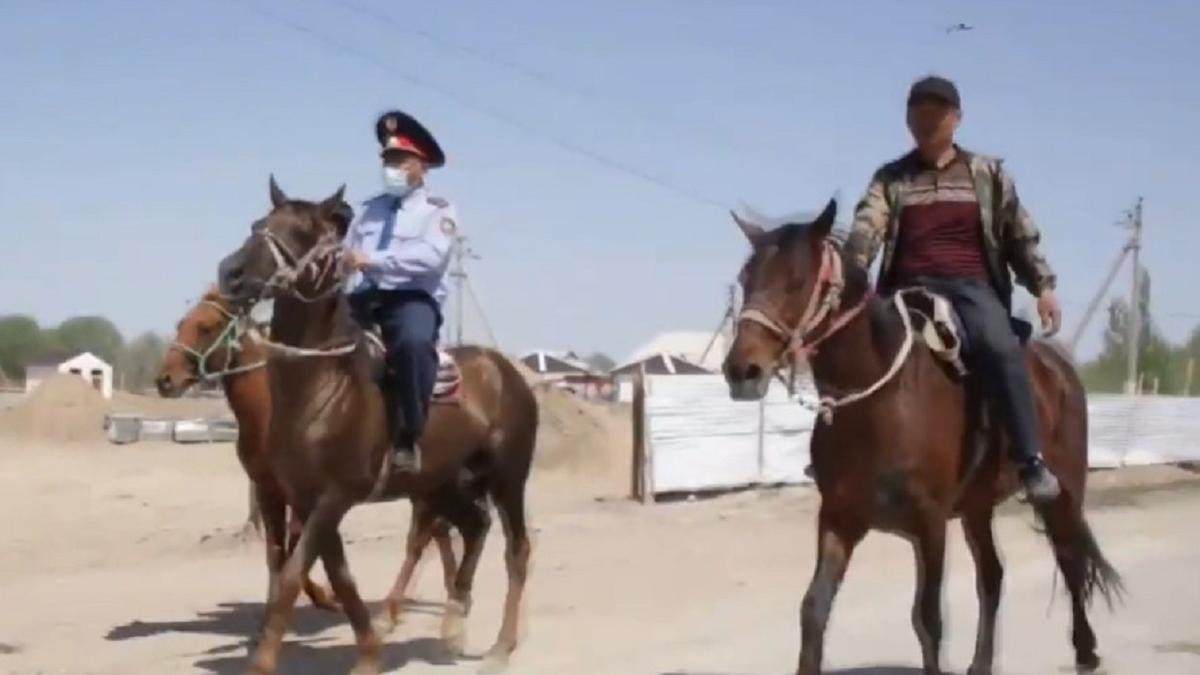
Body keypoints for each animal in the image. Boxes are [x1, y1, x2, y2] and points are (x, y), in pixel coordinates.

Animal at [153, 283, 458, 624]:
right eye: (181, 323)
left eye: (206, 326)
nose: (165, 379)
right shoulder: (268, 489)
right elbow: (278, 552)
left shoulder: (304, 491)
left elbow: (297, 546)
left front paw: (322, 597)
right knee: (437, 532)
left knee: (422, 538)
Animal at [213, 178, 537, 672]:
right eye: (258, 223)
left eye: (303, 232)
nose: (230, 273)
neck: (322, 383)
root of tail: (508, 373)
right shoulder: (306, 498)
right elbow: (337, 575)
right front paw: (370, 650)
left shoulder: (335, 495)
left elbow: (292, 575)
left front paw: (264, 662)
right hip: (443, 482)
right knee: (475, 526)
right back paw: (452, 627)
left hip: (507, 478)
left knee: (515, 549)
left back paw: (500, 647)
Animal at [720, 199, 1123, 672]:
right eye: (746, 279)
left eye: (797, 281)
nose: (741, 370)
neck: (881, 399)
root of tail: (1061, 370)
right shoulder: (838, 519)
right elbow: (814, 610)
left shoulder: (929, 523)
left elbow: (928, 619)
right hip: (977, 508)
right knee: (993, 574)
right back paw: (983, 663)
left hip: (1064, 490)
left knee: (1070, 557)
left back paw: (1086, 650)